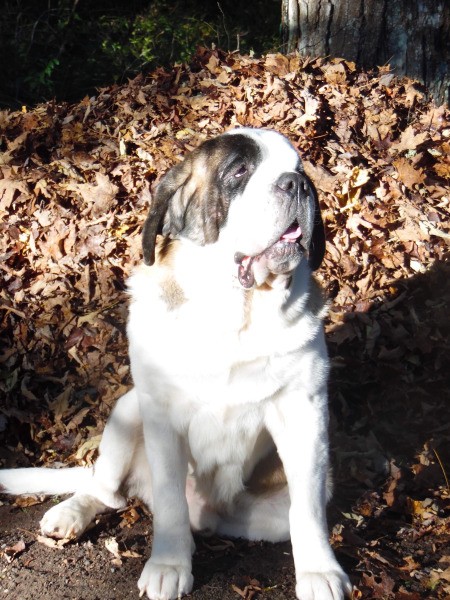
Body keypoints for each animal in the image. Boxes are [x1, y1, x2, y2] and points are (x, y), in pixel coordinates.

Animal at [0, 130, 352, 600]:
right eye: (239, 172)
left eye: (301, 170)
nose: (296, 185)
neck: (236, 312)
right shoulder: (162, 415)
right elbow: (169, 499)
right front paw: (168, 564)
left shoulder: (304, 412)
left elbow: (308, 508)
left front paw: (320, 572)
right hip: (128, 409)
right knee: (104, 489)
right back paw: (72, 513)